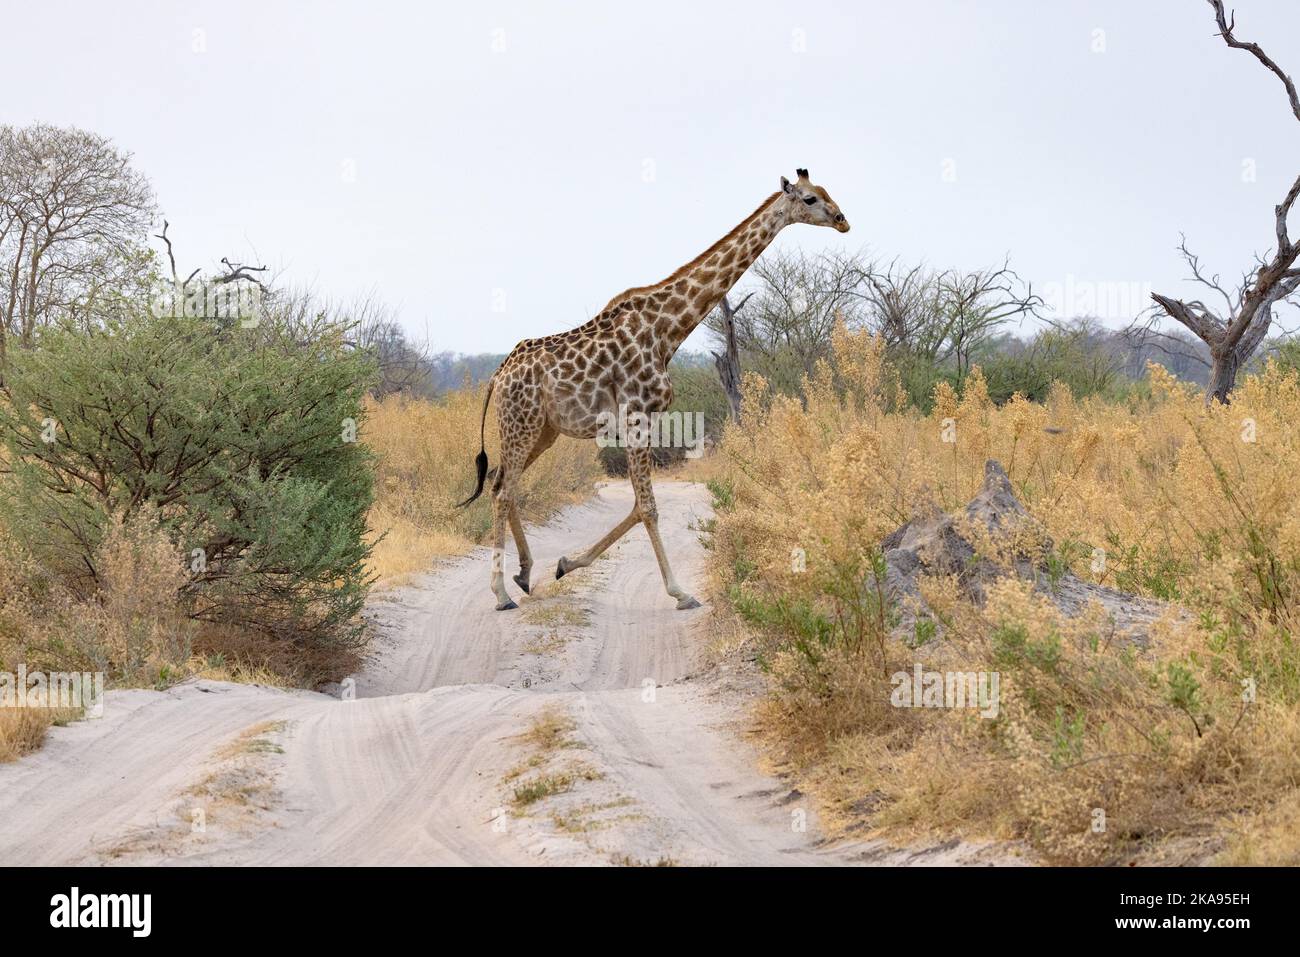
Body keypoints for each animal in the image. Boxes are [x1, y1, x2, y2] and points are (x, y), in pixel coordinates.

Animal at [460, 167, 852, 608]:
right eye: (810, 198)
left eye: (825, 192)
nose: (843, 221)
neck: (667, 330)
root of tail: (498, 375)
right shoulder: (637, 415)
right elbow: (647, 507)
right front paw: (681, 592)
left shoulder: (640, 420)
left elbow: (638, 505)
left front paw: (565, 564)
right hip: (521, 424)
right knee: (502, 491)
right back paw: (500, 593)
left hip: (542, 431)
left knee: (501, 483)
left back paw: (524, 575)